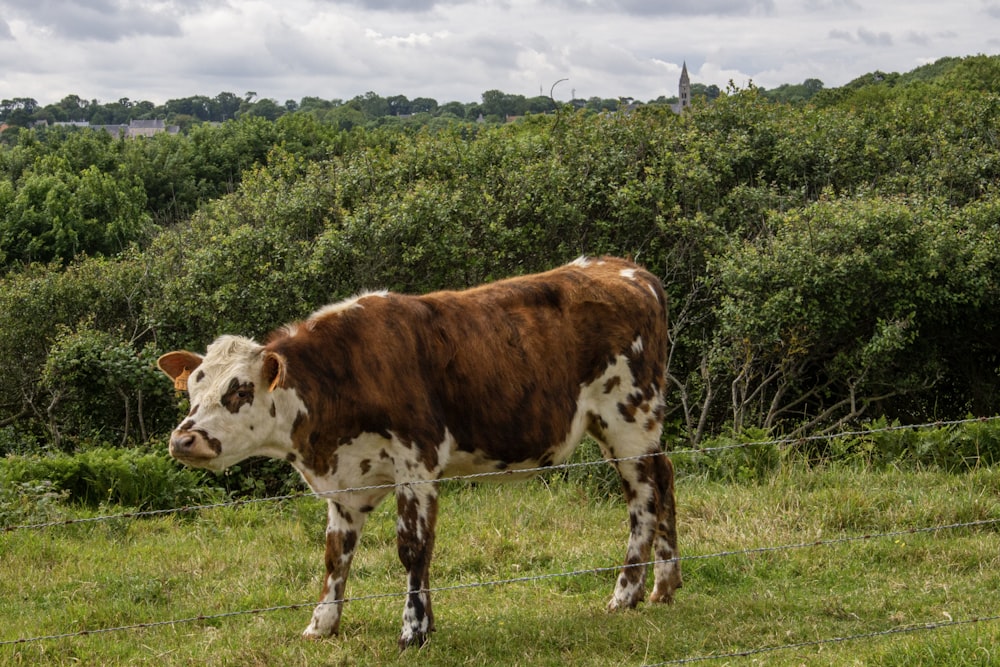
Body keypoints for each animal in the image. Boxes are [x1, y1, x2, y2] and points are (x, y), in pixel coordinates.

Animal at [158, 258, 680, 648]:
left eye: (240, 390)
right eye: (193, 390)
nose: (184, 439)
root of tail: (630, 271)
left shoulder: (416, 461)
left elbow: (412, 548)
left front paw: (413, 630)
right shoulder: (346, 485)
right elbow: (335, 556)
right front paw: (322, 625)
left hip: (627, 417)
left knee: (643, 498)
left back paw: (625, 595)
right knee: (666, 475)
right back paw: (664, 585)